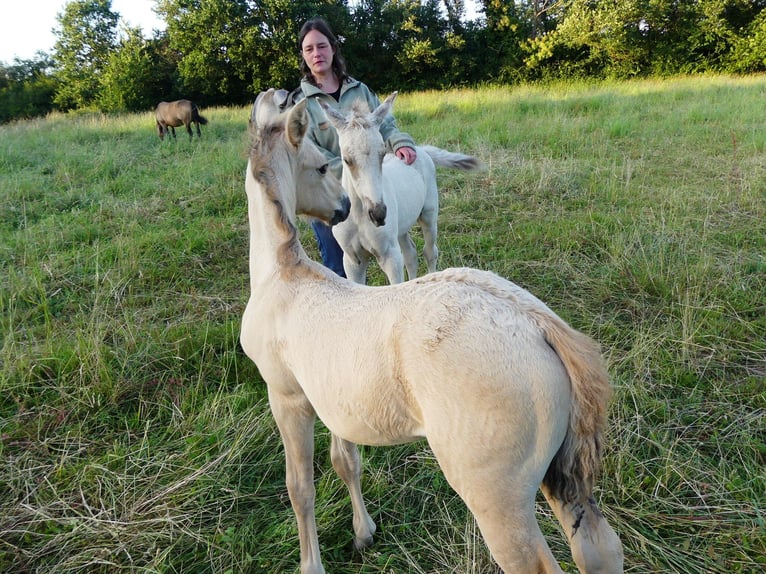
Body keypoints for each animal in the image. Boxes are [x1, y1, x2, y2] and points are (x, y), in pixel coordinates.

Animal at [322, 92, 482, 284]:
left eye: (382, 153)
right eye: (346, 159)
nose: (378, 214)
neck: (359, 217)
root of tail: (419, 149)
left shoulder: (390, 256)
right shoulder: (352, 260)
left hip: (429, 215)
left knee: (430, 252)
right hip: (401, 228)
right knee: (410, 255)